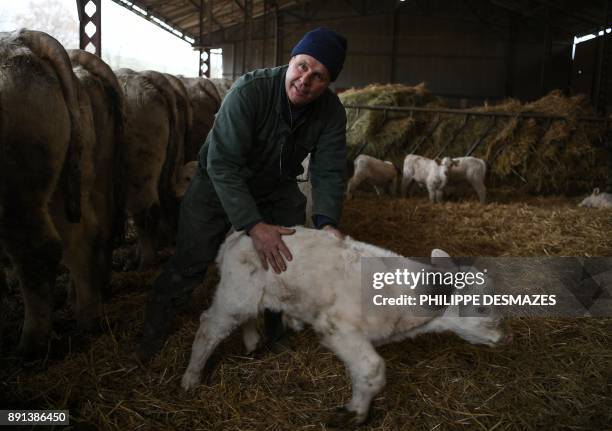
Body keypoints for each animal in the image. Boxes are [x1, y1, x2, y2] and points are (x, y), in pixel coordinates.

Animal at [183, 228, 512, 426]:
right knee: (208, 328)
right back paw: (191, 379)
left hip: (251, 295)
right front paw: (354, 414)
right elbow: (373, 369)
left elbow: (362, 372)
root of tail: (235, 237)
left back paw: (252, 342)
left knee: (249, 317)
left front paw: (358, 406)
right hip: (234, 295)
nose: (502, 336)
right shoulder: (337, 326)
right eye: (481, 307)